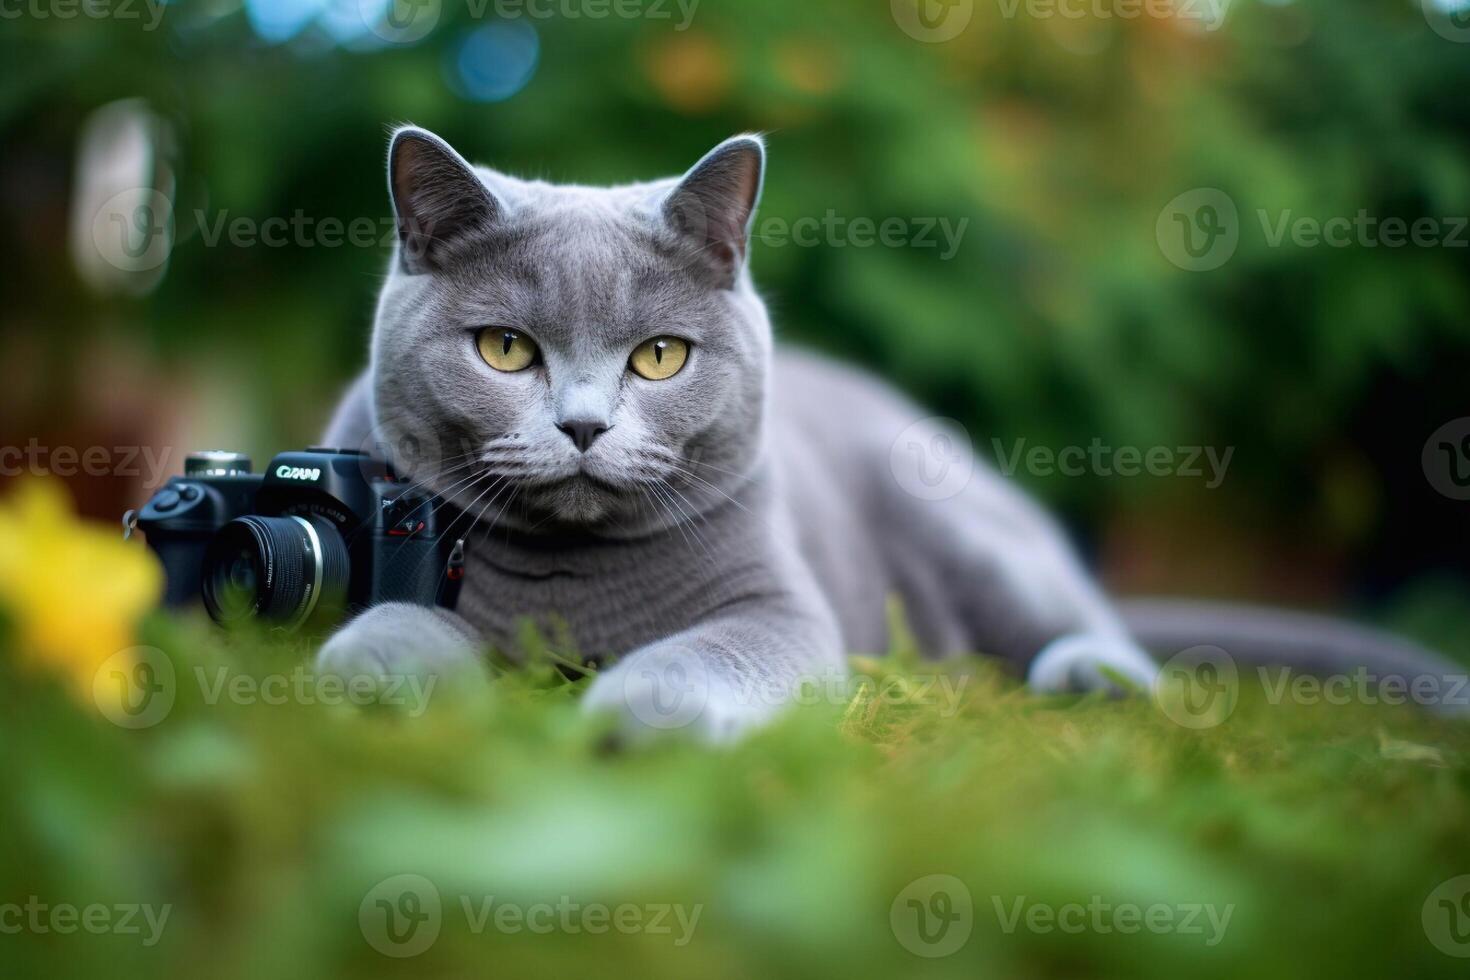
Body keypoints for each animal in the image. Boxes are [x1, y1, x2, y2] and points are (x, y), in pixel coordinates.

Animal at [316, 126, 1464, 740]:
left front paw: (629, 716)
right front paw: (367, 677)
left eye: (660, 357)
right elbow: (387, 631)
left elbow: (702, 658)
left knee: (1098, 630)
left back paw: (1085, 673)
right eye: (506, 350)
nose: (585, 424)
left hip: (960, 522)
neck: (569, 584)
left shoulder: (780, 613)